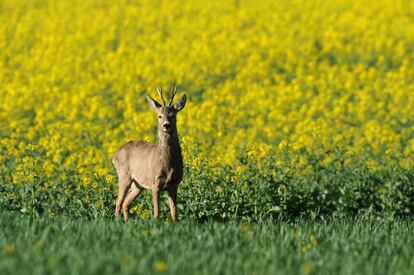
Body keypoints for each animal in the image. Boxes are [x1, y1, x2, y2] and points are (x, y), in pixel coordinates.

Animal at [111, 85, 186, 223]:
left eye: (173, 115)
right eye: (160, 116)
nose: (166, 125)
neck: (168, 164)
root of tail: (115, 154)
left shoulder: (174, 184)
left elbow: (174, 212)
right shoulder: (155, 182)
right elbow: (157, 212)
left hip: (138, 184)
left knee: (125, 203)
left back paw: (127, 222)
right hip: (124, 175)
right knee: (118, 202)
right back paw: (118, 222)